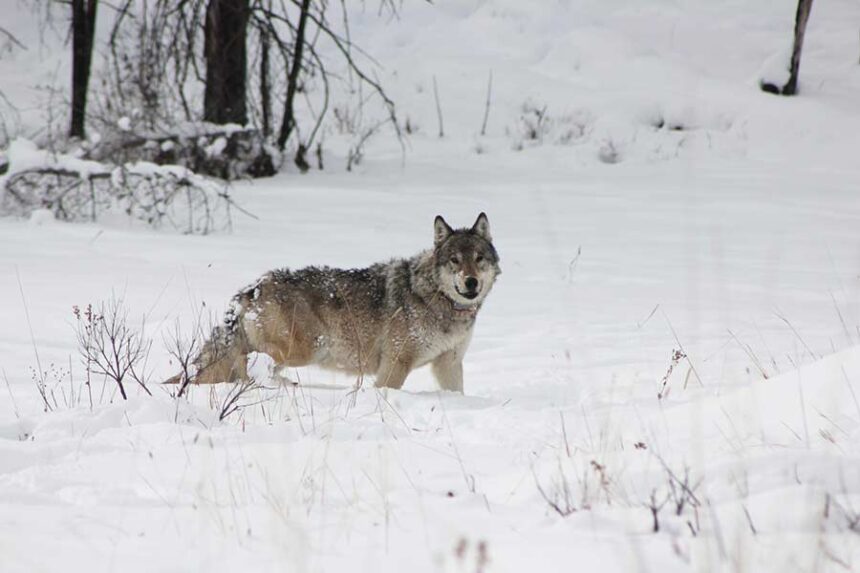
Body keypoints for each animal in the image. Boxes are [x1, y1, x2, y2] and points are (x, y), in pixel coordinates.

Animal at [167, 213, 500, 392]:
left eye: (478, 259)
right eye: (454, 261)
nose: (471, 282)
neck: (436, 299)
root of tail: (252, 289)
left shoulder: (449, 364)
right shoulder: (395, 364)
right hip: (308, 349)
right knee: (261, 367)